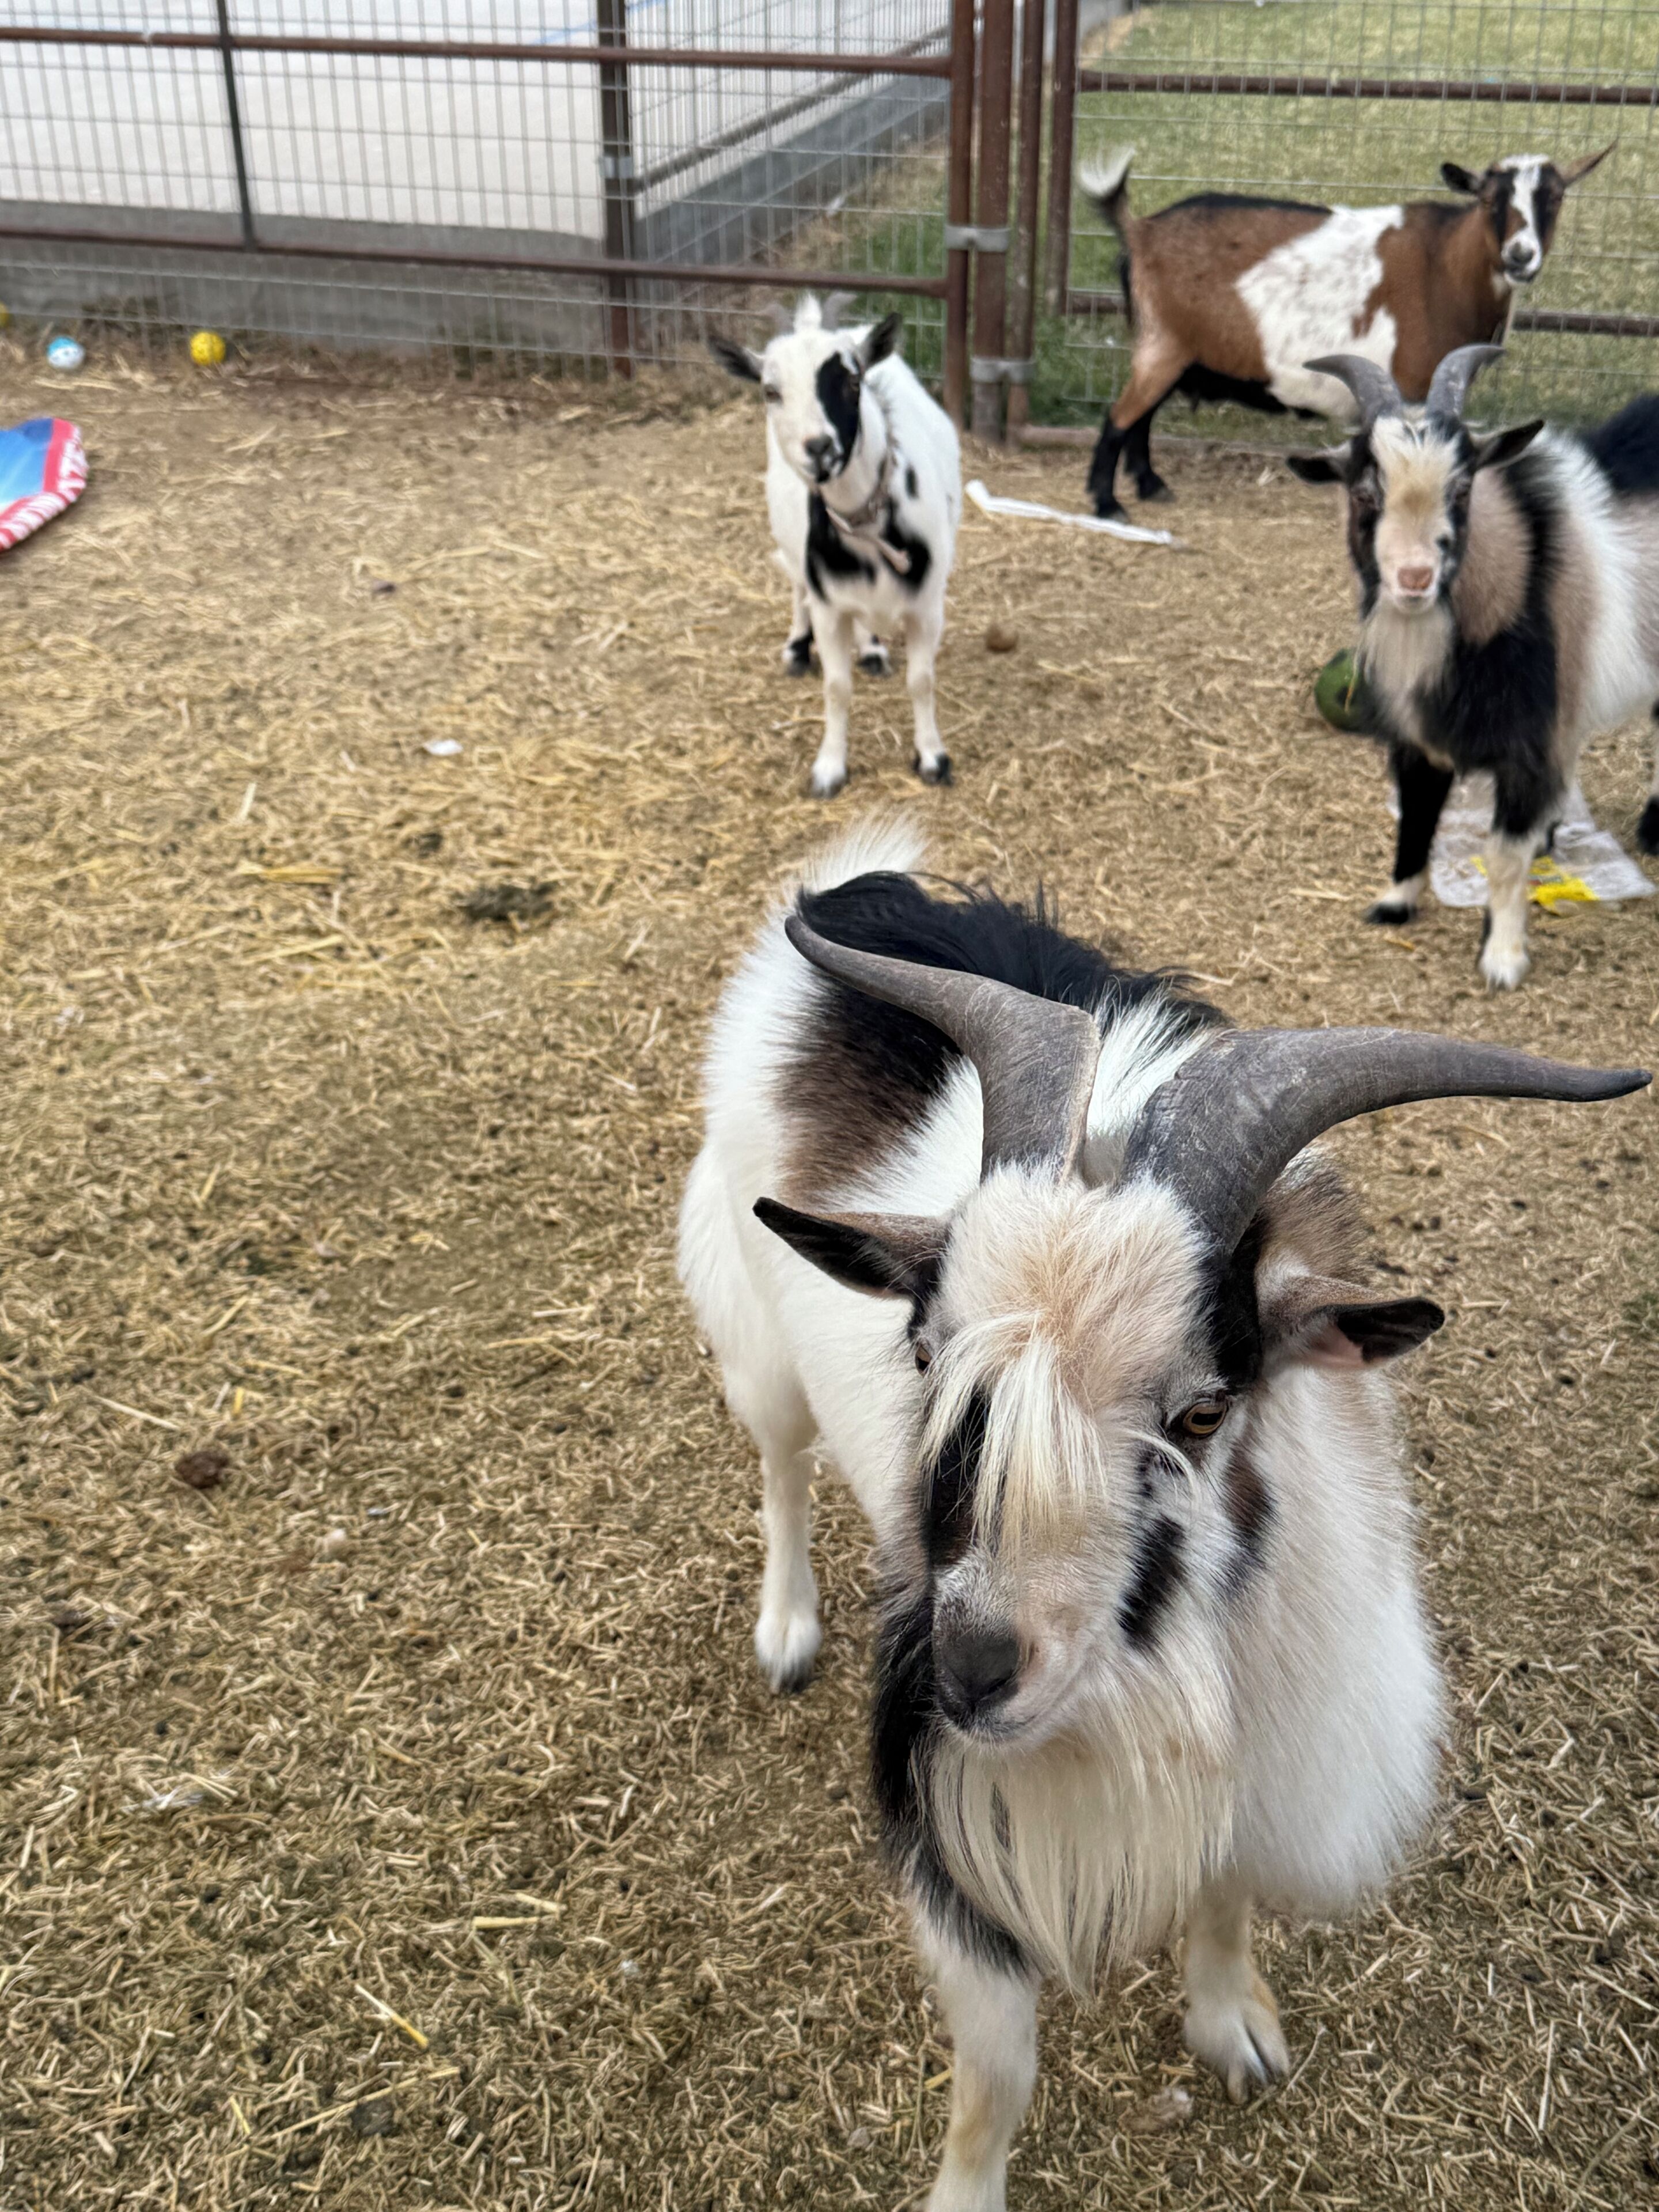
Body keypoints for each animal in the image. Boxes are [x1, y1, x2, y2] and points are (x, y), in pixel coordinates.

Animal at [678, 820, 1647, 2209]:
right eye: (925, 1356)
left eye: (1199, 1414)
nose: (969, 1678)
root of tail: (869, 883)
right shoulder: (967, 1845)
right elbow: (997, 2073)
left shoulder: (1266, 1741)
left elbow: (1227, 1898)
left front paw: (1231, 2025)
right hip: (751, 1331)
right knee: (780, 1468)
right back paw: (788, 1631)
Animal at [711, 296, 961, 796]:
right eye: (770, 391)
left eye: (852, 380)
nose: (820, 448)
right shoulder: (829, 605)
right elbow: (836, 688)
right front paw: (829, 768)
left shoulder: (928, 606)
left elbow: (921, 681)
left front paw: (932, 758)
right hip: (791, 546)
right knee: (796, 587)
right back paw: (796, 649)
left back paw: (871, 650)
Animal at [1078, 143, 1611, 521]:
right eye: (1487, 200)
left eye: (1555, 198)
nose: (1521, 256)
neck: (1446, 264)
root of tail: (1140, 229)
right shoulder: (1412, 389)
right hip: (1163, 343)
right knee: (1120, 418)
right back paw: (1109, 504)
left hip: (1178, 350)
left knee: (1142, 417)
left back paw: (1151, 486)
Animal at [1288, 345, 1659, 988]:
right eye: (1363, 494)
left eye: (1461, 491)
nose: (1415, 579)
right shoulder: (1420, 739)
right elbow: (1415, 821)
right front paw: (1395, 903)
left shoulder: (1529, 745)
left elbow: (1504, 859)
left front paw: (1503, 960)